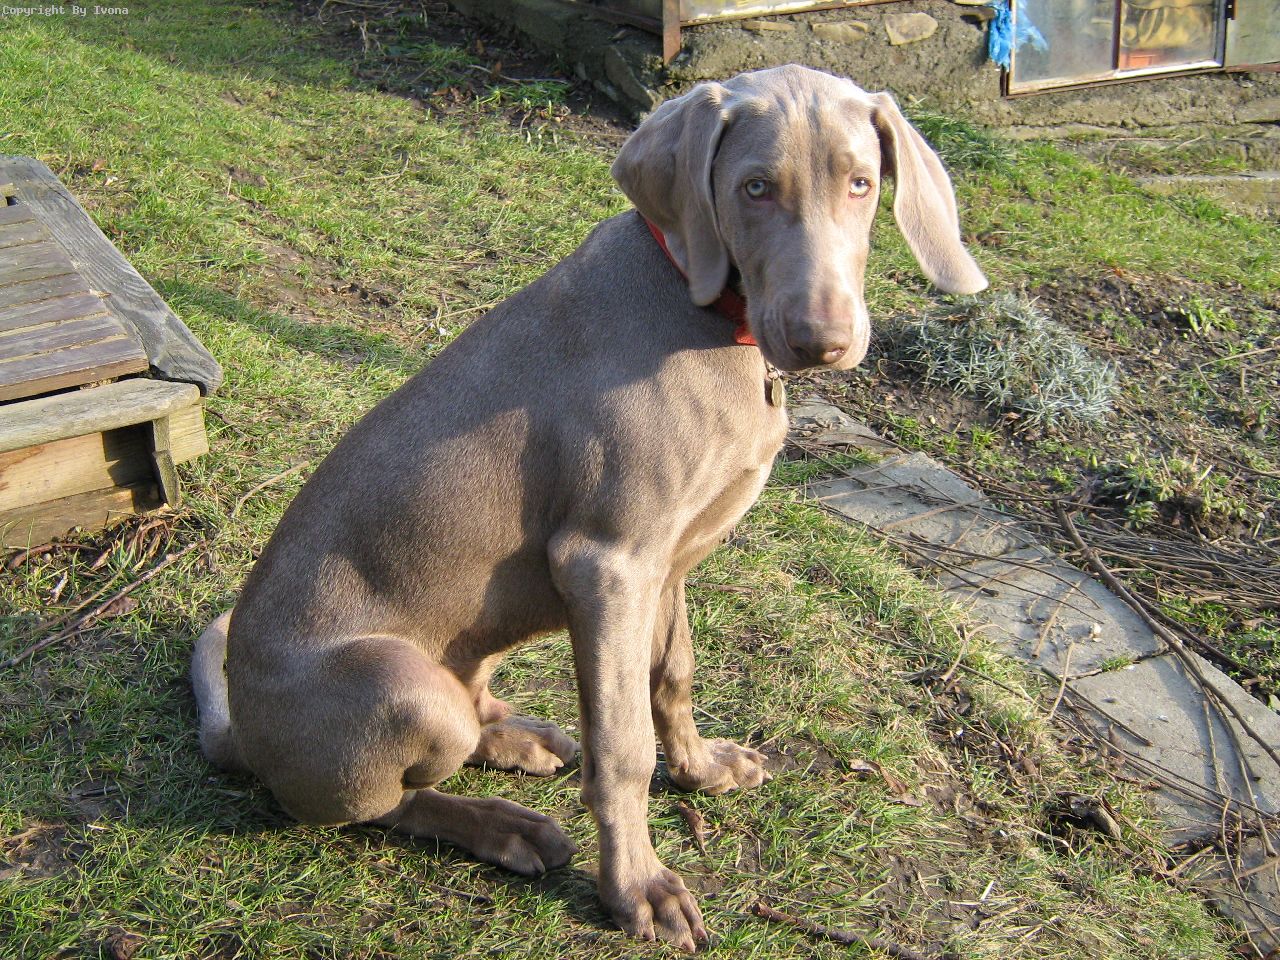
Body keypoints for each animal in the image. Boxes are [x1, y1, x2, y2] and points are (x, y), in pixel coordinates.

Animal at [193, 64, 986, 950]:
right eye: (754, 188)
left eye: (860, 184)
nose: (822, 342)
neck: (704, 310)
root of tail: (241, 730)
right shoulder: (606, 564)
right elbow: (623, 745)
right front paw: (638, 886)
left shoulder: (667, 563)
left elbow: (673, 674)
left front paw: (700, 768)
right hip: (402, 685)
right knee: (384, 803)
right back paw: (503, 826)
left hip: (479, 640)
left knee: (470, 710)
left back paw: (516, 739)